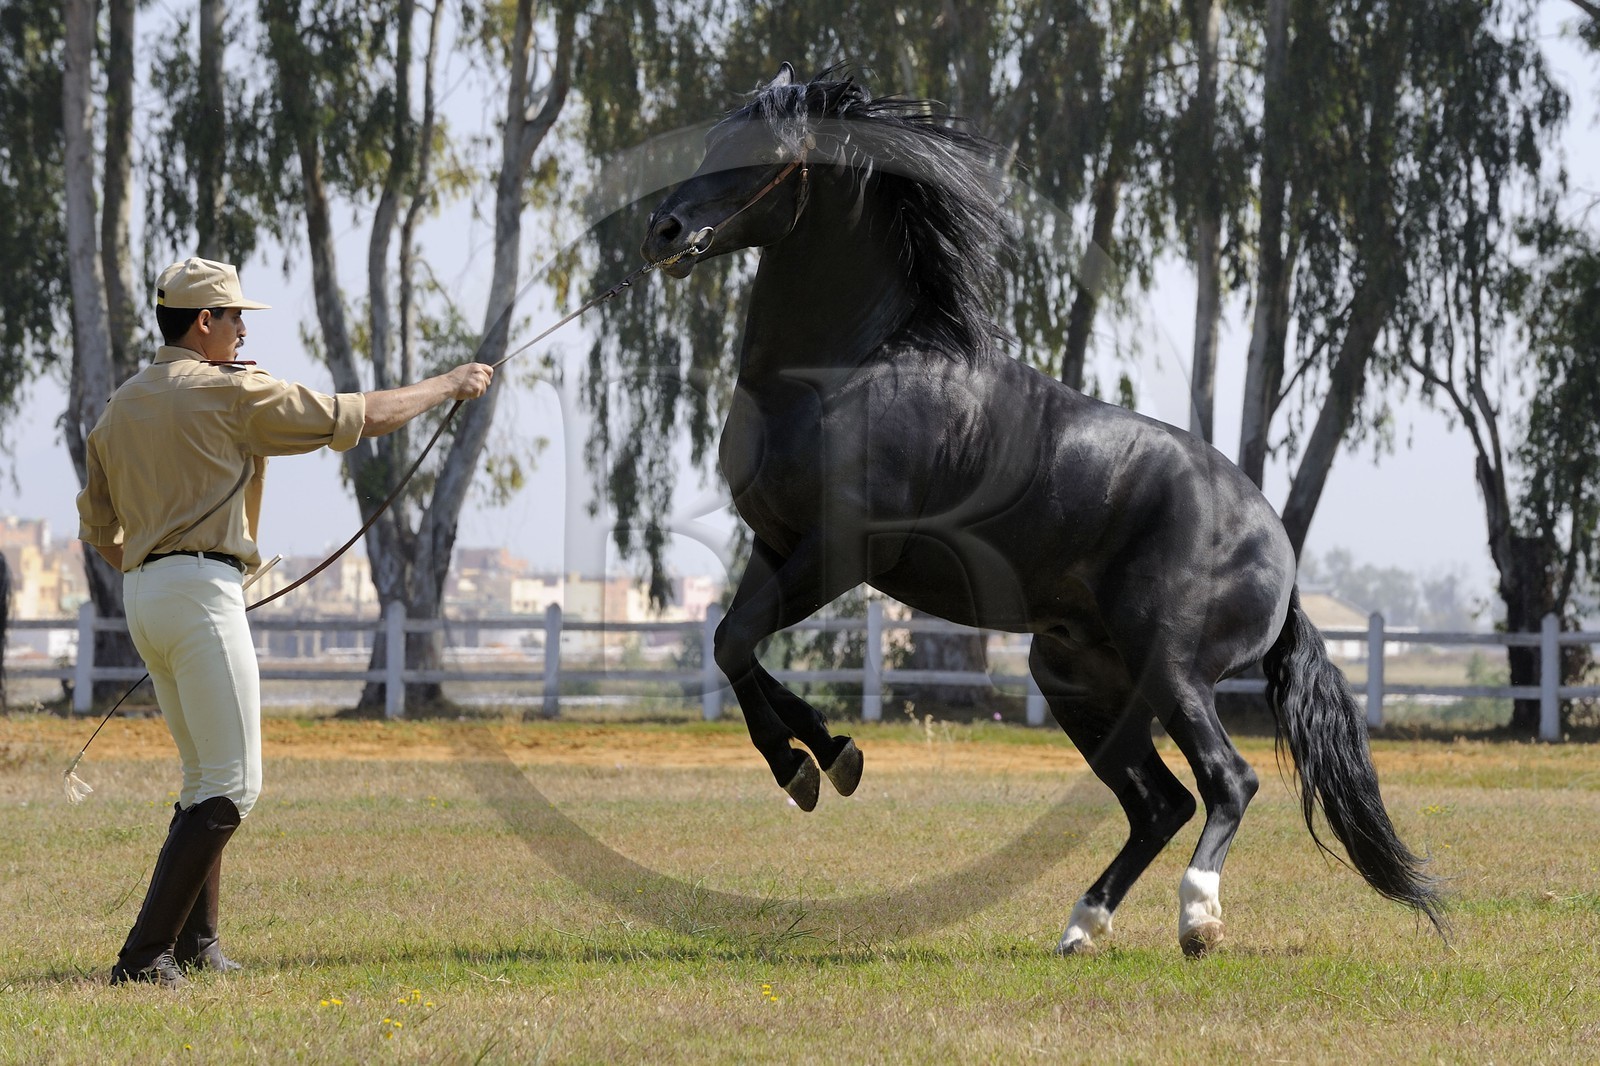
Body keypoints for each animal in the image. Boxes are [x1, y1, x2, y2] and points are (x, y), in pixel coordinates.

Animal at [640, 63, 1441, 956]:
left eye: (763, 154)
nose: (664, 232)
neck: (847, 371)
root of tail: (1280, 557)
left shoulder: (839, 554)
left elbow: (737, 641)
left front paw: (811, 761)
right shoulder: (777, 547)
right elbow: (731, 645)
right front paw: (825, 756)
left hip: (1170, 669)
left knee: (1227, 781)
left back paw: (1198, 919)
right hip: (1075, 680)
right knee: (1160, 802)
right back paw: (1082, 927)